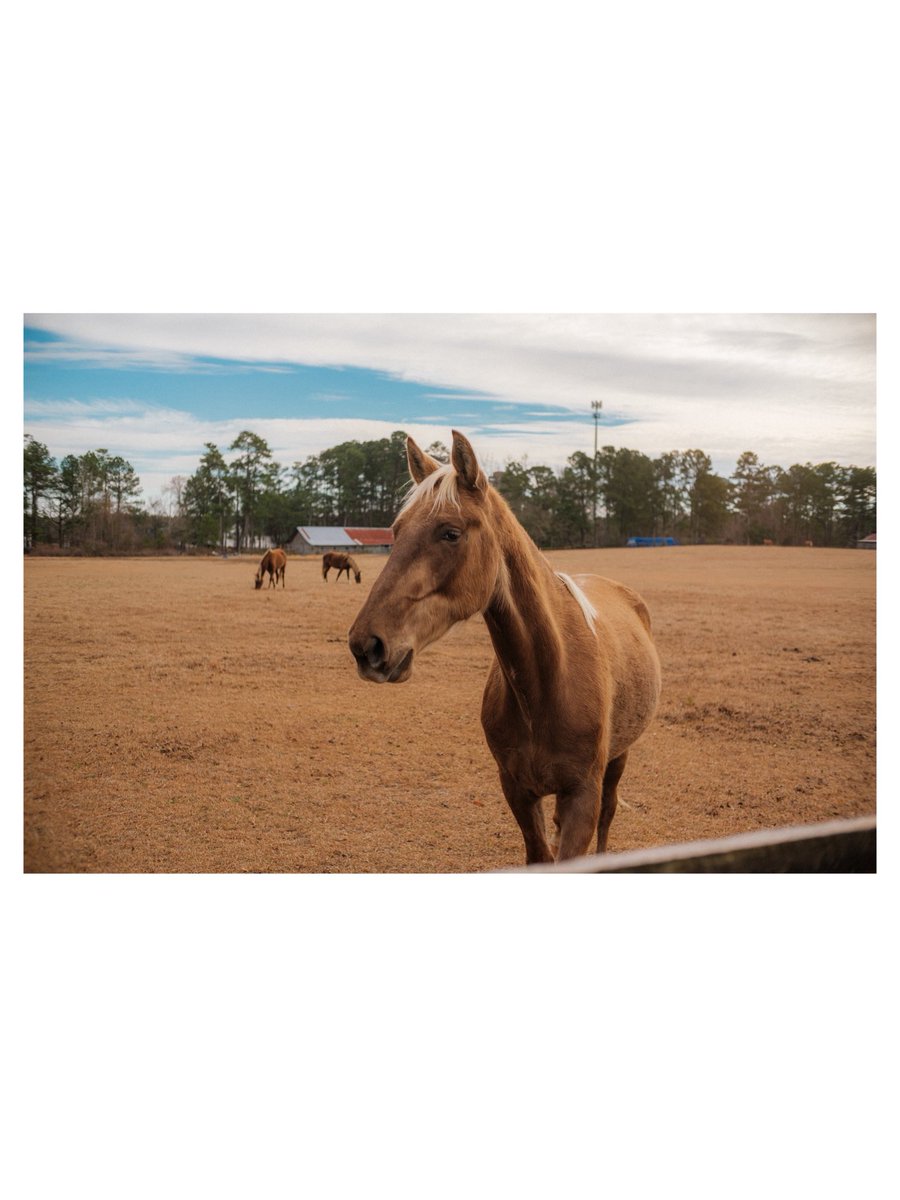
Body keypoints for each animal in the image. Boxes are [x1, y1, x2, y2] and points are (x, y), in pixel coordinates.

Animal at [348, 431, 662, 865]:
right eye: (396, 531)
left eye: (450, 532)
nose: (367, 645)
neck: (549, 682)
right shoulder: (516, 789)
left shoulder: (584, 794)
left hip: (619, 759)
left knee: (609, 814)